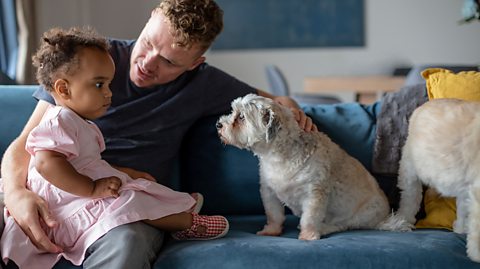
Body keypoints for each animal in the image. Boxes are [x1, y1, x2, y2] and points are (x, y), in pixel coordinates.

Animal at [218, 93, 404, 239]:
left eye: (241, 117)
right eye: (233, 112)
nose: (219, 124)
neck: (278, 156)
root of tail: (383, 218)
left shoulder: (314, 194)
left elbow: (309, 218)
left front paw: (308, 236)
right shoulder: (269, 192)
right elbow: (274, 215)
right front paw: (271, 231)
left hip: (360, 215)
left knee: (343, 224)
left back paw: (324, 228)